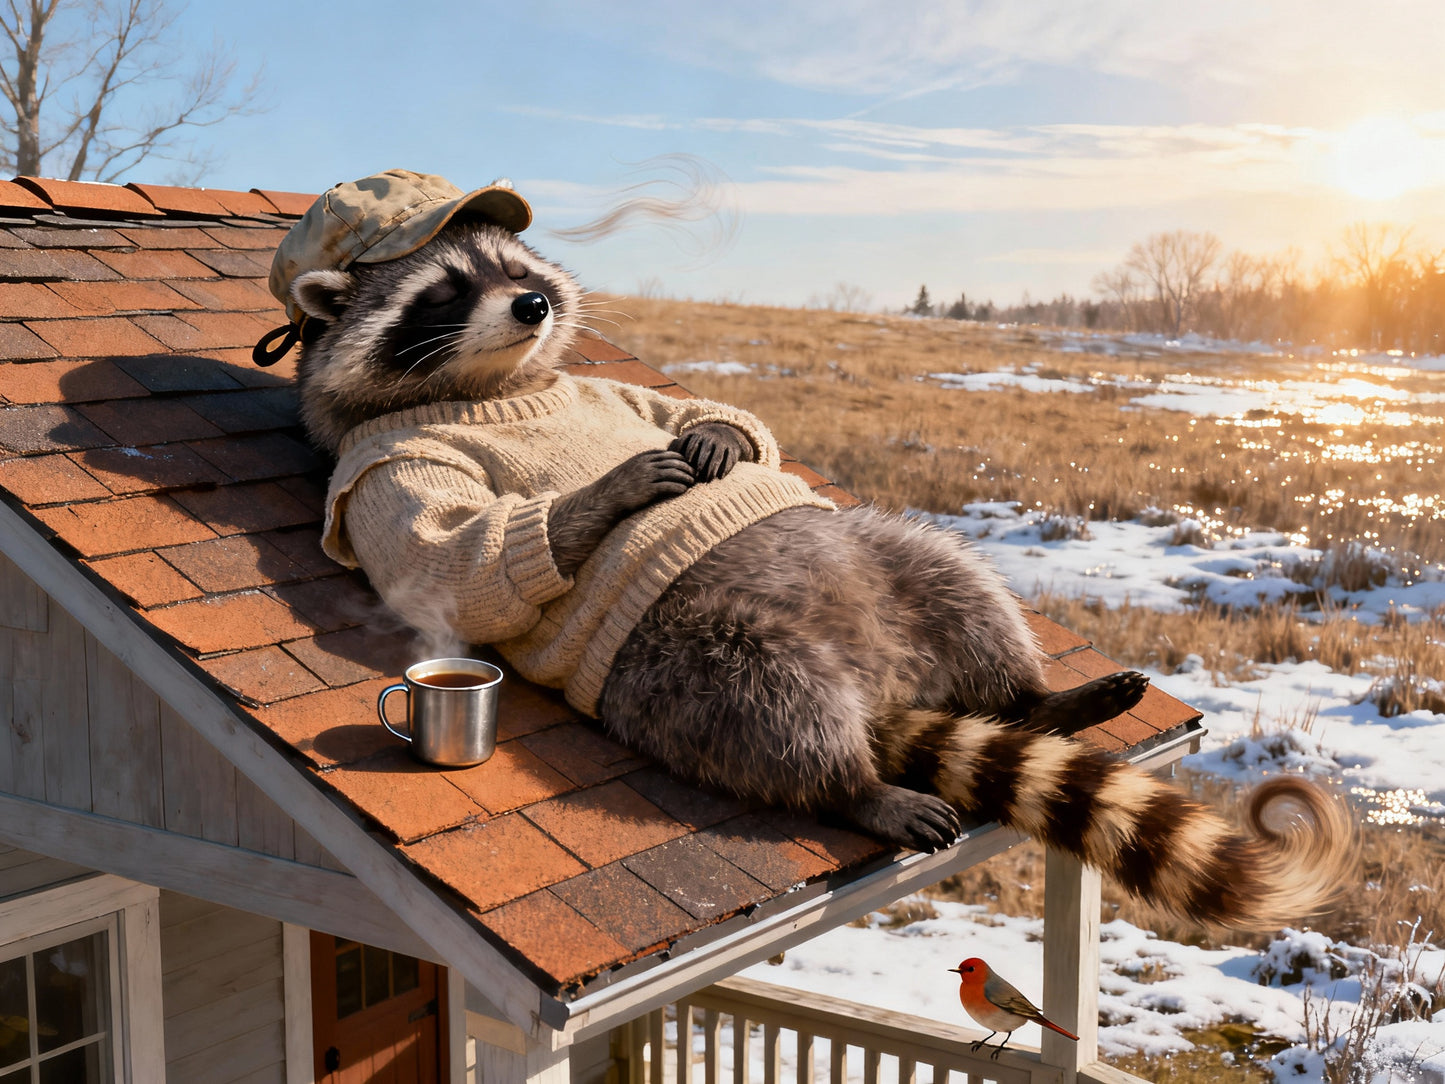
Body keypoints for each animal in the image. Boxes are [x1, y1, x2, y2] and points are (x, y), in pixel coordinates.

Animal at [285, 216, 1353, 931]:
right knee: (771, 713)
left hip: (884, 565)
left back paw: (1034, 698)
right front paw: (596, 495)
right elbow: (451, 562)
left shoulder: (607, 385)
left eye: (516, 268)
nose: (534, 304)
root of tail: (879, 688)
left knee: (948, 576)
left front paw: (715, 434)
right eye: (445, 290)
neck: (500, 387)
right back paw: (854, 786)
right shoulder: (384, 466)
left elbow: (701, 416)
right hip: (689, 664)